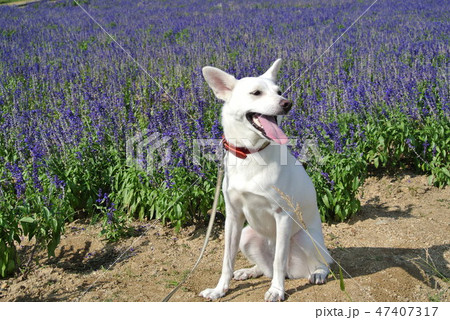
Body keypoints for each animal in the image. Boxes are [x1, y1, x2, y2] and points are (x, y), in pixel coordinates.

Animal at [199, 60, 332, 302]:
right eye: (256, 93)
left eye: (279, 92)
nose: (287, 103)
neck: (251, 154)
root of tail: (294, 272)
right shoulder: (233, 216)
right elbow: (227, 260)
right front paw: (220, 289)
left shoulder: (283, 216)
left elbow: (279, 260)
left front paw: (277, 291)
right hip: (246, 235)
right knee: (266, 267)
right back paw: (250, 271)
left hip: (305, 239)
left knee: (318, 263)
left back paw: (317, 273)